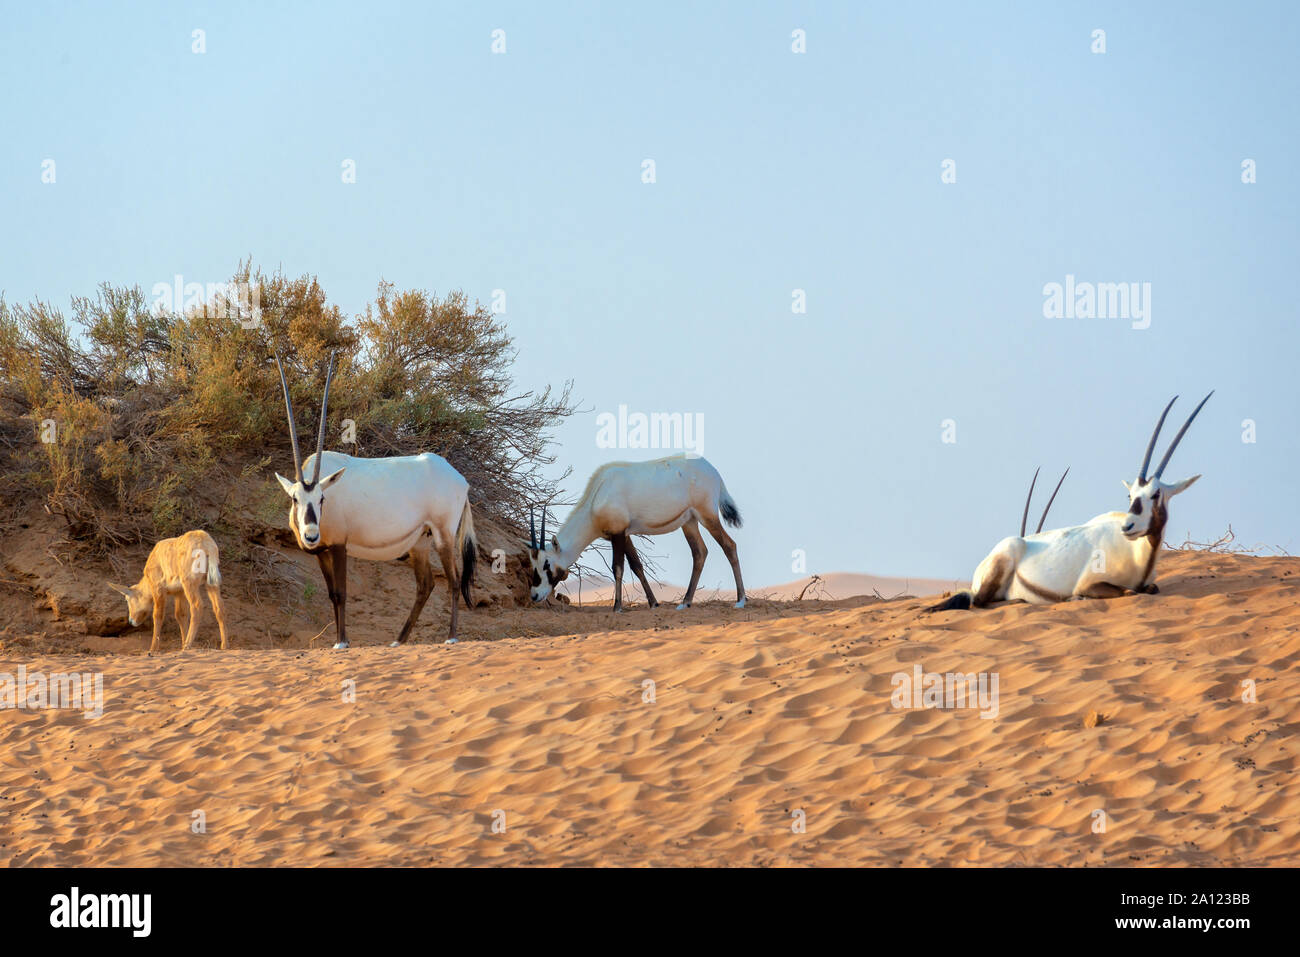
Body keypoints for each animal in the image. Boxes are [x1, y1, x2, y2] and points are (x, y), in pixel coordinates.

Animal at [110, 527, 230, 655]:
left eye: (127, 599)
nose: (131, 621)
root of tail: (207, 546)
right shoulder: (179, 592)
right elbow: (181, 615)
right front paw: (182, 643)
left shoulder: (158, 589)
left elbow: (157, 616)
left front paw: (153, 649)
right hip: (210, 584)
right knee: (219, 608)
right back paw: (223, 645)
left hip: (189, 583)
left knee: (197, 606)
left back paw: (187, 645)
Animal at [525, 455, 748, 613]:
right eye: (533, 564)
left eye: (546, 564)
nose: (534, 596)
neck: (598, 495)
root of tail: (712, 470)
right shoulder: (624, 534)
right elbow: (637, 566)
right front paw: (653, 603)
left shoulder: (618, 533)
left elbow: (618, 568)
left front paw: (617, 607)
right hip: (689, 521)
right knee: (699, 552)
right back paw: (685, 602)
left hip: (707, 516)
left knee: (729, 545)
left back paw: (740, 600)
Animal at [930, 395, 1211, 613]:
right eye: (1130, 495)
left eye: (1154, 494)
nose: (1128, 527)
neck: (1138, 554)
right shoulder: (1090, 583)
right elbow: (1129, 592)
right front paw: (1076, 597)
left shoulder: (1149, 583)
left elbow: (1151, 588)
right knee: (979, 602)